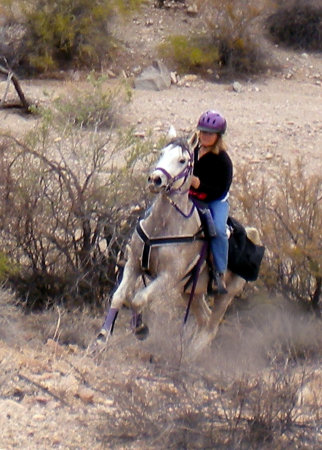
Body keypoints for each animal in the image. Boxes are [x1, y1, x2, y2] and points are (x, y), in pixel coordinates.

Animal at [96, 139, 256, 350]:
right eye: (161, 153)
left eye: (182, 160)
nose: (155, 179)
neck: (162, 227)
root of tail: (254, 236)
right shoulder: (134, 265)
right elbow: (119, 296)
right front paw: (102, 337)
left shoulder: (168, 276)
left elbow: (139, 299)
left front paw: (140, 329)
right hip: (191, 292)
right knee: (204, 319)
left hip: (226, 294)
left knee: (211, 327)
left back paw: (191, 353)